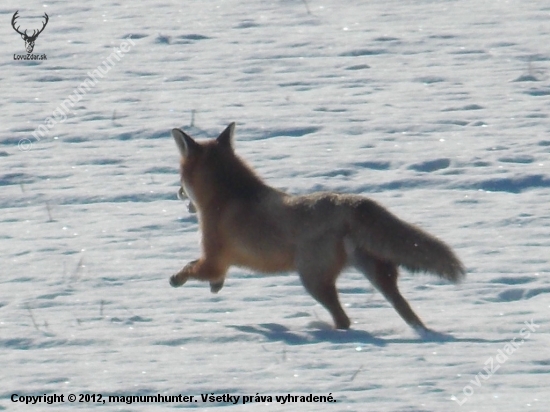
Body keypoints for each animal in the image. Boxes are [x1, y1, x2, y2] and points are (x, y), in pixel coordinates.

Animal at [170, 122, 468, 334]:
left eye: (180, 177)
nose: (178, 194)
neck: (228, 195)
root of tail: (350, 202)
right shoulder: (221, 262)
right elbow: (213, 276)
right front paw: (215, 289)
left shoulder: (213, 258)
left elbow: (190, 267)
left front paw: (177, 279)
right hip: (376, 276)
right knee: (405, 310)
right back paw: (424, 334)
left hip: (312, 279)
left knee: (344, 319)